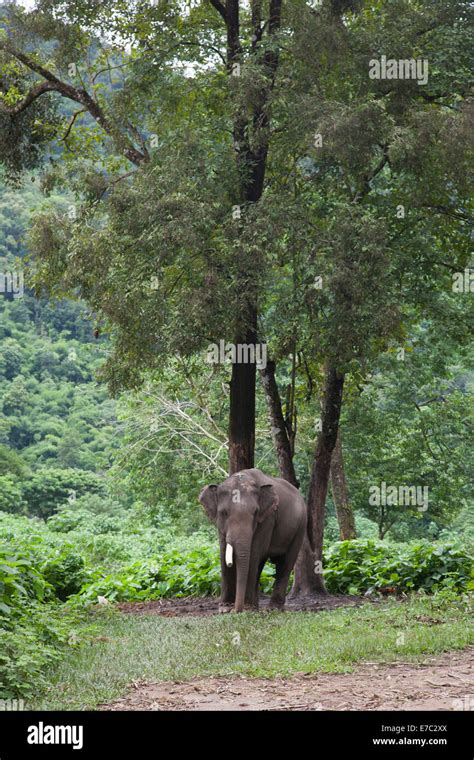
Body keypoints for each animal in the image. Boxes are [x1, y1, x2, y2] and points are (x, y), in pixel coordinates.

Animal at [197, 466, 306, 616]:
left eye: (255, 512)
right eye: (223, 513)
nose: (236, 610)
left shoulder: (268, 518)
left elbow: (253, 553)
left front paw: (245, 609)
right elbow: (224, 552)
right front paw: (225, 609)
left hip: (300, 528)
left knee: (285, 563)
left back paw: (273, 608)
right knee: (261, 565)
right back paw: (256, 606)